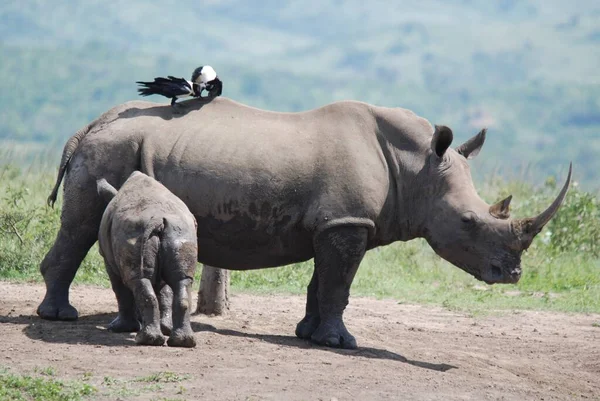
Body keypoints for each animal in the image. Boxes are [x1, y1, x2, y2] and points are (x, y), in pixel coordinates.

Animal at [96, 170, 197, 346]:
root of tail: (158, 220)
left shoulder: (108, 261)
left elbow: (120, 290)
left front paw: (119, 328)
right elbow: (165, 291)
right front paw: (165, 328)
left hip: (133, 232)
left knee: (138, 280)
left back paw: (146, 339)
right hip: (181, 232)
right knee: (182, 280)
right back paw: (183, 342)